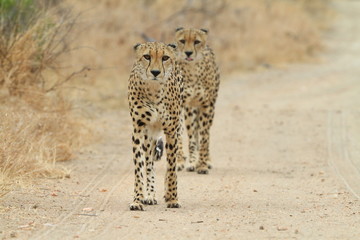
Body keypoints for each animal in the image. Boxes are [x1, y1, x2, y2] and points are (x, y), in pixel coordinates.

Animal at [127, 42, 183, 211]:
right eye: (147, 56)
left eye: (165, 57)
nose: (155, 72)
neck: (154, 90)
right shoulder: (138, 130)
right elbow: (140, 168)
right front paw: (137, 200)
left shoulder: (171, 130)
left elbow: (171, 167)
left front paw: (172, 198)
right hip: (149, 135)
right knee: (149, 162)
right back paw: (150, 196)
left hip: (177, 128)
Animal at [174, 27, 219, 174]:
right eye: (182, 41)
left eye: (197, 41)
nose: (188, 52)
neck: (192, 69)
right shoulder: (179, 105)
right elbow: (180, 136)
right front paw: (179, 161)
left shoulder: (206, 105)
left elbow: (204, 136)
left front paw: (203, 164)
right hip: (190, 110)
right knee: (192, 135)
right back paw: (192, 161)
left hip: (210, 108)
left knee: (205, 133)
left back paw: (205, 160)